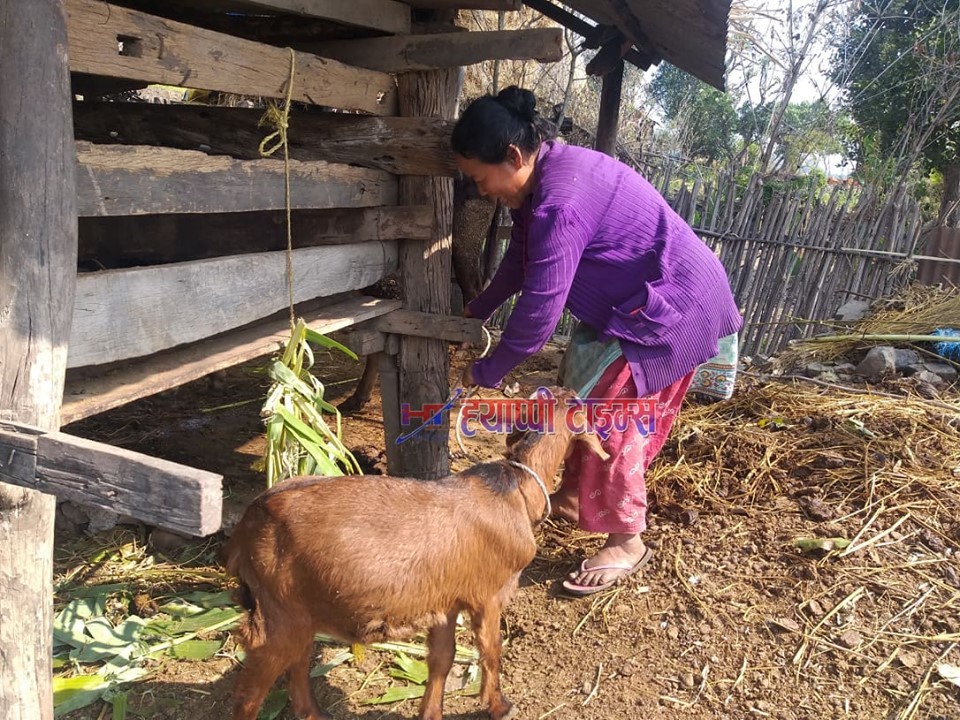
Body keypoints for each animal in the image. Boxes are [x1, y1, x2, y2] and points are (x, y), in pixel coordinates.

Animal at [221, 390, 604, 716]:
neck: (515, 489)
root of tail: (246, 526)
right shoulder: (489, 594)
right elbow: (491, 650)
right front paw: (500, 706)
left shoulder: (446, 601)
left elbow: (442, 658)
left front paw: (431, 712)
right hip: (280, 609)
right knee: (251, 689)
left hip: (301, 609)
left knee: (297, 664)